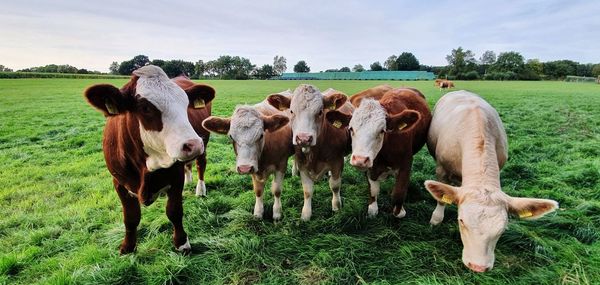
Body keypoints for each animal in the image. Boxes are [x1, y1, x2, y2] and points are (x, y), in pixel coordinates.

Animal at [83, 65, 216, 253]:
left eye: (185, 105)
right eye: (145, 108)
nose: (193, 144)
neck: (145, 166)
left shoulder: (175, 178)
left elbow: (174, 211)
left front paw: (182, 243)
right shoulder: (118, 182)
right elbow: (131, 217)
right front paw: (128, 247)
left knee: (200, 165)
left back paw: (200, 189)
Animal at [266, 84, 352, 220]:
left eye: (320, 112)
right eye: (291, 111)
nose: (304, 138)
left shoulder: (337, 162)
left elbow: (335, 186)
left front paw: (336, 207)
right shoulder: (302, 164)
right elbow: (307, 190)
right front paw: (306, 214)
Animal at [326, 87, 428, 216]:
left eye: (382, 131)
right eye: (351, 129)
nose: (359, 160)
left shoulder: (406, 164)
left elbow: (399, 194)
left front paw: (399, 211)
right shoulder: (371, 167)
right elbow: (373, 190)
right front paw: (373, 209)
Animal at [422, 90, 556, 272]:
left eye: (502, 229)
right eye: (461, 221)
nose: (478, 267)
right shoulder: (441, 168)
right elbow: (441, 199)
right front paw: (436, 219)